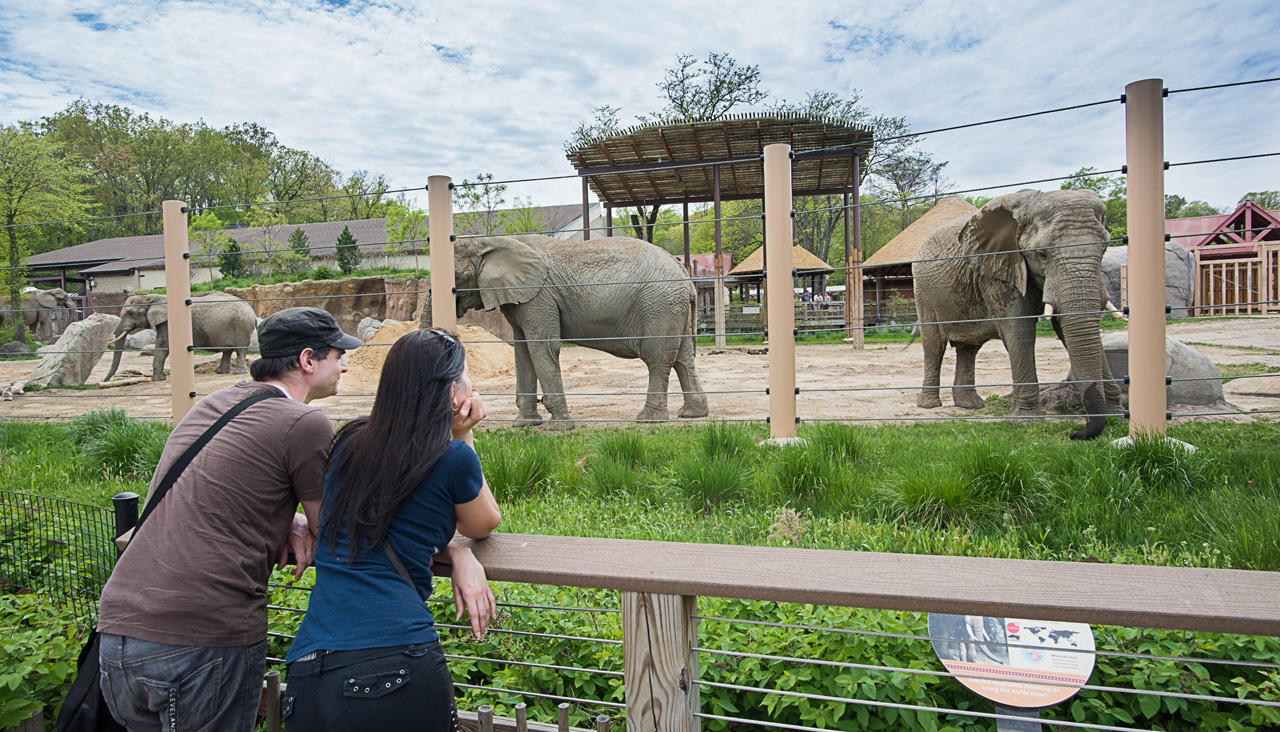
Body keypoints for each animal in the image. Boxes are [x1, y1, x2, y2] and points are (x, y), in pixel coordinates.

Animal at [104, 291, 257, 383]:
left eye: (129, 313)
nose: (105, 381)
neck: (151, 297)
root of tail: (251, 310)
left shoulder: (168, 323)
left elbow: (163, 345)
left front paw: (158, 380)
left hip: (241, 325)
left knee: (240, 349)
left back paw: (237, 373)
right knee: (228, 350)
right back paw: (220, 372)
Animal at [450, 234, 711, 429]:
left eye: (457, 277)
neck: (490, 241)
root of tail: (685, 276)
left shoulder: (539, 295)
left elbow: (542, 346)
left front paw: (559, 428)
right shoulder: (521, 299)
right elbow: (522, 351)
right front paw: (524, 425)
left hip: (660, 305)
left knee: (657, 358)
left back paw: (648, 420)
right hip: (672, 307)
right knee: (682, 359)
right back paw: (692, 414)